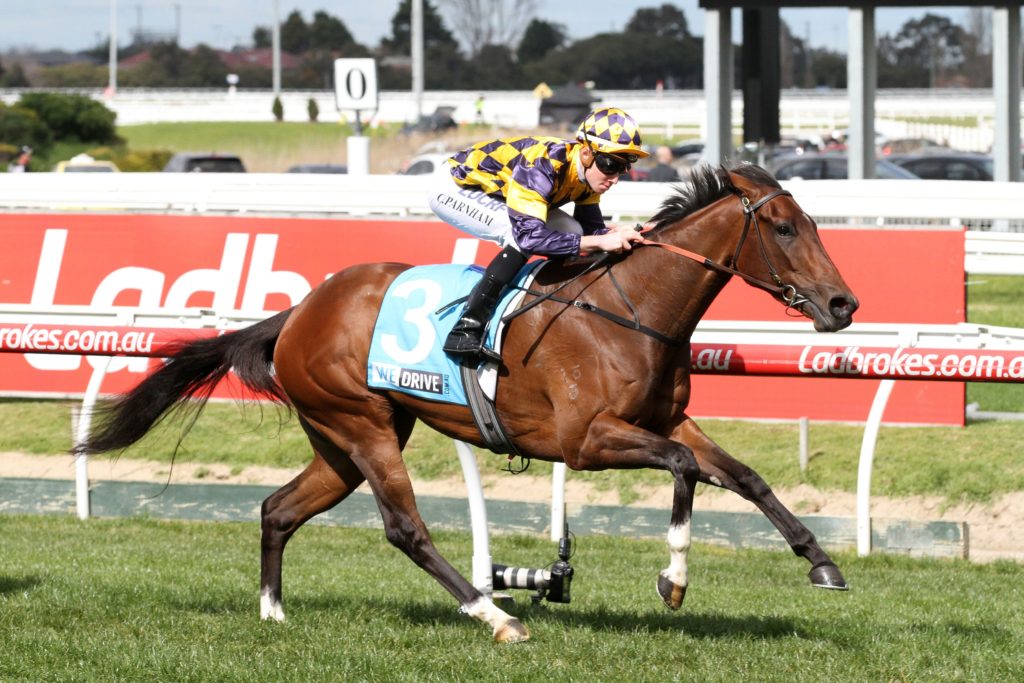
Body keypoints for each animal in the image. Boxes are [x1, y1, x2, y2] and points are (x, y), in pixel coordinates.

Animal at [78, 163, 858, 644]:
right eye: (784, 228)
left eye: (816, 224)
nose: (843, 305)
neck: (629, 312)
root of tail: (300, 311)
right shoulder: (586, 440)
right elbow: (684, 470)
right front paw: (673, 578)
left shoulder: (666, 420)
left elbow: (744, 476)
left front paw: (821, 563)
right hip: (362, 426)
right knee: (406, 529)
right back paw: (495, 616)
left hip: (342, 440)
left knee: (278, 508)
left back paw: (273, 611)